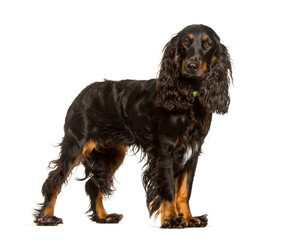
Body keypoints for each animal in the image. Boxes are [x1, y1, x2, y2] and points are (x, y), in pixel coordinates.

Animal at [33, 24, 233, 229]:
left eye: (207, 44)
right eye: (186, 42)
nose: (192, 65)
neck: (188, 98)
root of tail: (82, 93)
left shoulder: (192, 151)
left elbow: (185, 189)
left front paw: (189, 218)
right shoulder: (165, 151)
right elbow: (169, 188)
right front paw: (170, 219)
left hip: (113, 152)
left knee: (93, 184)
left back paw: (104, 216)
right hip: (77, 145)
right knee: (54, 180)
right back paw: (46, 217)